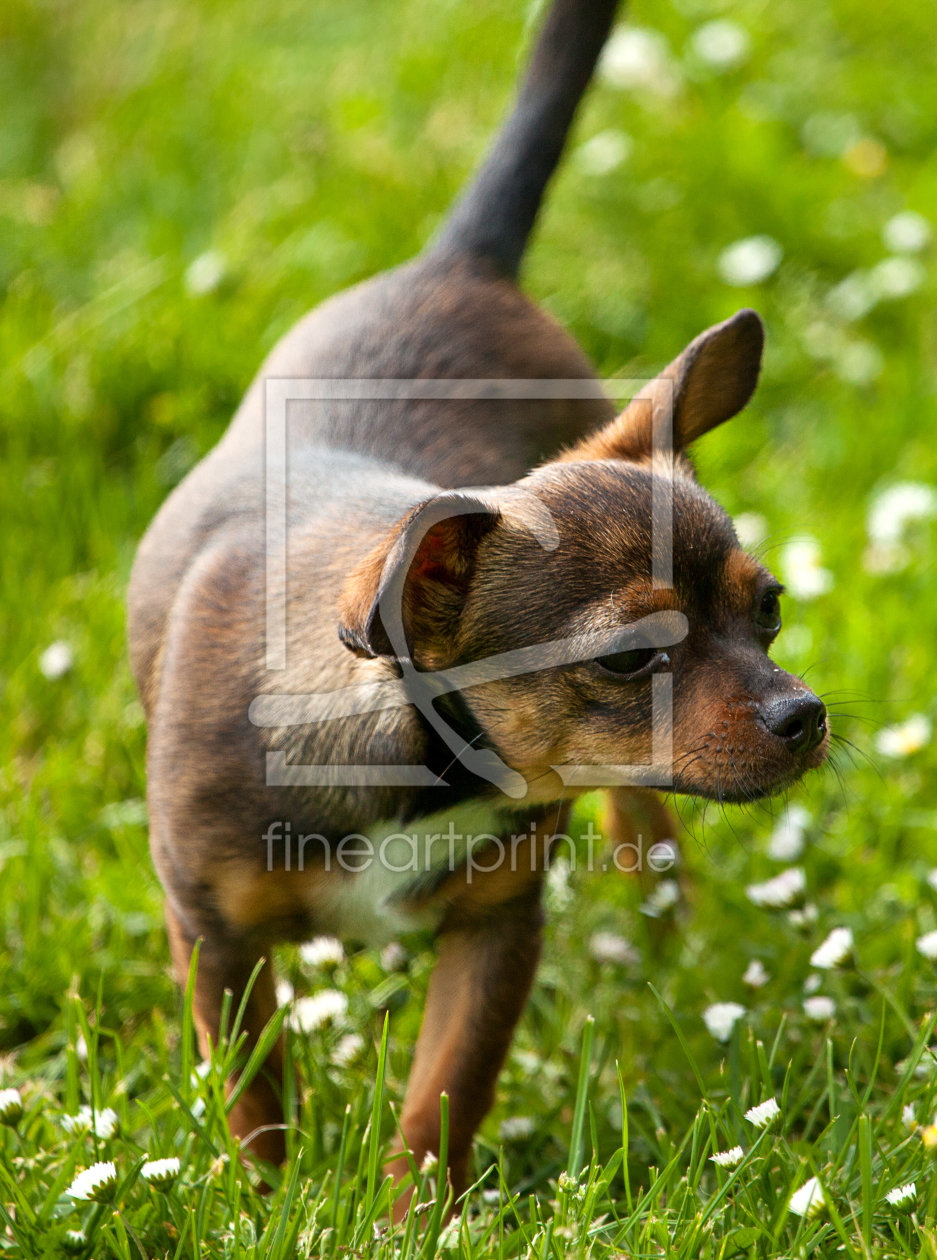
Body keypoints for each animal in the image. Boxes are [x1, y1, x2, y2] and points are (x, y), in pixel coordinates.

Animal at [126, 0, 826, 1199]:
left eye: (769, 610)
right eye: (625, 658)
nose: (805, 714)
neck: (423, 759)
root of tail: (461, 259)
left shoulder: (497, 931)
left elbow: (442, 1095)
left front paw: (413, 1214)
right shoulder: (215, 942)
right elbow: (255, 1108)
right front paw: (271, 1206)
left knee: (643, 824)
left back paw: (667, 941)